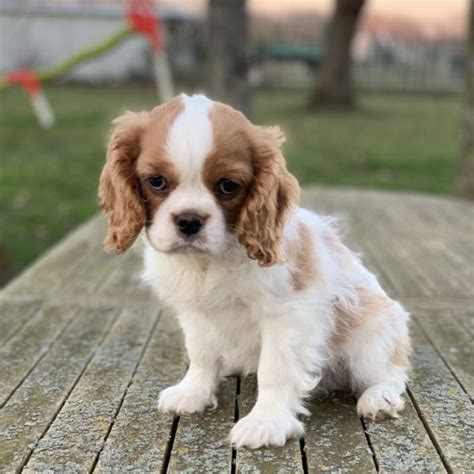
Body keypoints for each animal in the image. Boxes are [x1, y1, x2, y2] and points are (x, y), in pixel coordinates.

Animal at [98, 92, 410, 448]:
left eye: (228, 186)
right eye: (156, 182)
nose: (189, 220)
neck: (211, 260)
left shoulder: (286, 314)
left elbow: (274, 370)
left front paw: (266, 422)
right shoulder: (195, 313)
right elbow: (201, 353)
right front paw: (194, 392)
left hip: (371, 337)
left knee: (392, 372)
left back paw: (379, 397)